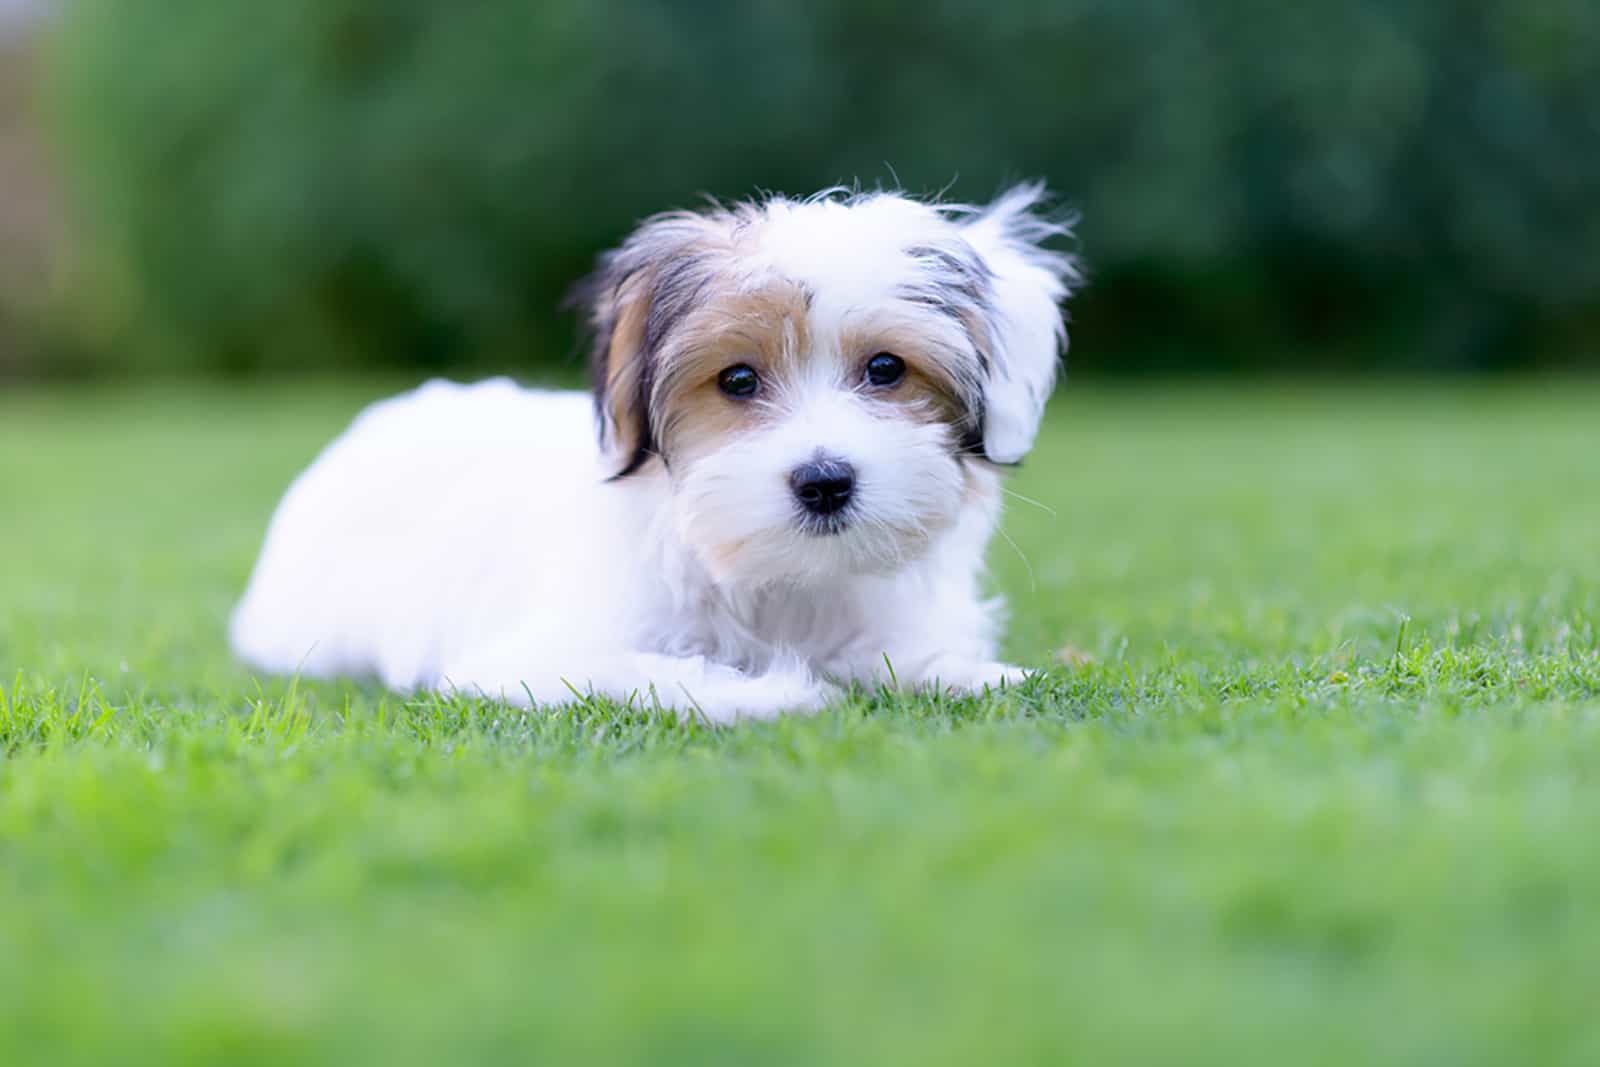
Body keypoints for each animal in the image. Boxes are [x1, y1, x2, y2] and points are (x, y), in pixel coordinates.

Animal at [232, 183, 1081, 723]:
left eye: (885, 369)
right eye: (737, 378)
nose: (824, 481)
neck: (774, 579)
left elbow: (902, 653)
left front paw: (971, 673)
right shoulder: (533, 657)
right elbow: (646, 669)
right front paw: (774, 692)